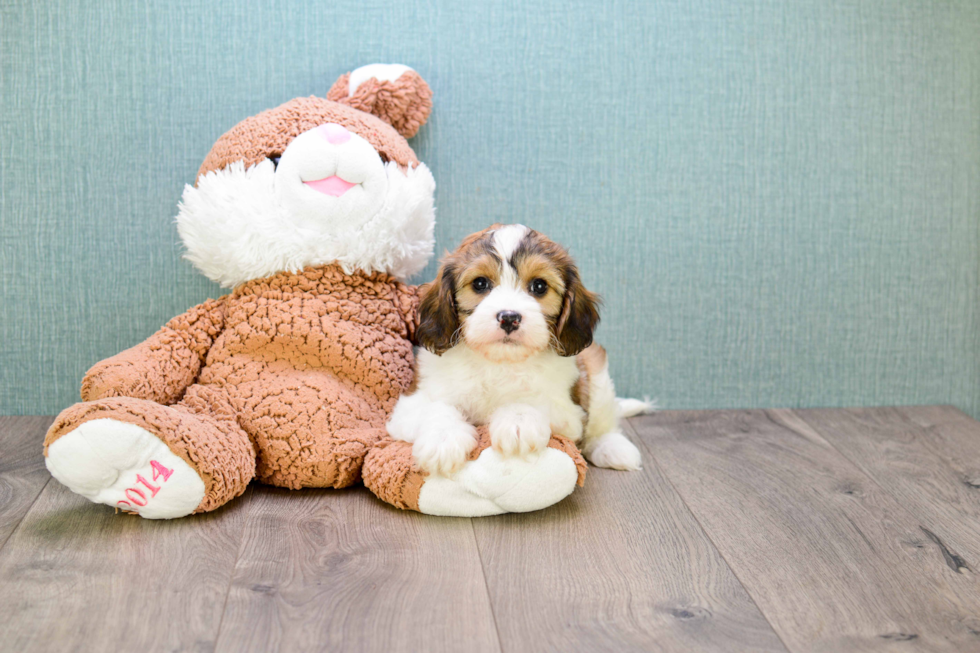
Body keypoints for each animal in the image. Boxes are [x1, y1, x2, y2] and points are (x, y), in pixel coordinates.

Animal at [384, 224, 652, 474]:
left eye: (539, 286)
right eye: (480, 283)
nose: (509, 318)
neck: (498, 362)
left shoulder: (569, 413)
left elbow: (535, 401)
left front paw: (518, 420)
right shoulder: (410, 405)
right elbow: (437, 407)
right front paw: (443, 438)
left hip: (597, 372)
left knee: (602, 422)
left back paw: (613, 448)